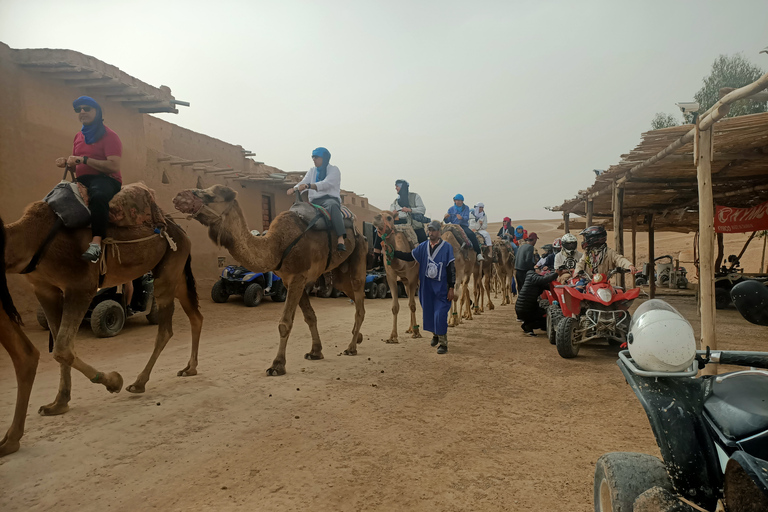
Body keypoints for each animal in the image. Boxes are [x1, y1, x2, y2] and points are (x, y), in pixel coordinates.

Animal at [4, 197, 202, 416]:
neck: (31, 239)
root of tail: (181, 231)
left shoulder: (80, 286)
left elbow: (62, 348)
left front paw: (114, 381)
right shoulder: (45, 290)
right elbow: (58, 344)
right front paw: (58, 404)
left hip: (168, 270)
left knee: (165, 329)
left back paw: (138, 383)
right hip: (177, 274)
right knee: (195, 316)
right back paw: (189, 369)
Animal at [174, 185, 366, 376]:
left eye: (209, 196)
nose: (179, 196)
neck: (276, 246)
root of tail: (357, 229)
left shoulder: (298, 276)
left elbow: (284, 323)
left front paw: (277, 365)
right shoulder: (291, 280)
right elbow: (310, 316)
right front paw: (315, 352)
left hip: (359, 254)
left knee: (359, 304)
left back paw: (351, 348)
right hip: (340, 273)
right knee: (351, 295)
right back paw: (358, 338)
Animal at [370, 210, 420, 346]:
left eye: (389, 217)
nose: (375, 217)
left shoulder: (413, 277)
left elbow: (413, 305)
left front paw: (417, 333)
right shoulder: (391, 277)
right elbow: (395, 307)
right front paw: (393, 337)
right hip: (406, 282)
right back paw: (410, 328)